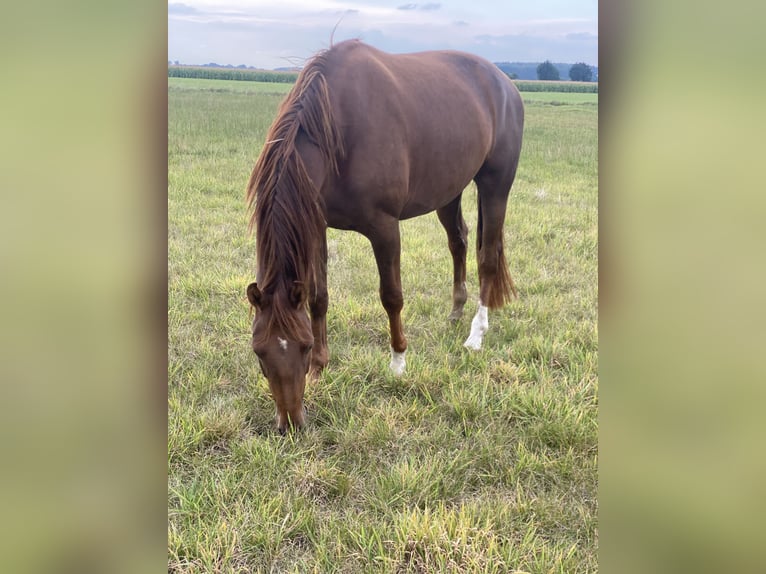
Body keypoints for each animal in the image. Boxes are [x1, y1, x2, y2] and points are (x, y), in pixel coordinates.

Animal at [249, 39, 524, 432]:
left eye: (301, 345)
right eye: (259, 350)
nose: (291, 424)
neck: (338, 127)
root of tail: (505, 84)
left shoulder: (384, 228)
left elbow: (391, 296)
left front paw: (398, 362)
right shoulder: (317, 225)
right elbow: (319, 297)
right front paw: (320, 368)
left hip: (495, 184)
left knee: (487, 256)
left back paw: (476, 334)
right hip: (448, 191)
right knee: (458, 242)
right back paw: (455, 312)